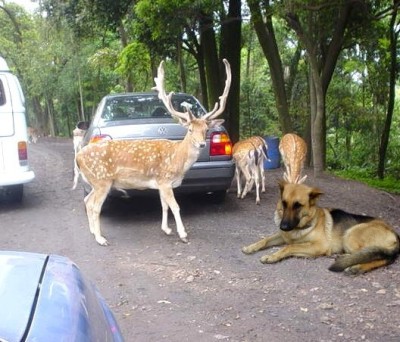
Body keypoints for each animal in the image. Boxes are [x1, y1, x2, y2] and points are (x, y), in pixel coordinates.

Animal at [76, 59, 231, 246]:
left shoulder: (161, 183)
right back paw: (100, 238)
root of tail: (78, 157)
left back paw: (93, 232)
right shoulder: (164, 179)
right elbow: (175, 206)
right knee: (94, 205)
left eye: (206, 130)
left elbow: (164, 205)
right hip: (102, 180)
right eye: (190, 129)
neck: (177, 159)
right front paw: (183, 234)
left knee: (86, 200)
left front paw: (166, 229)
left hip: (96, 182)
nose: (202, 144)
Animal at [242, 182, 398, 276]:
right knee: (381, 257)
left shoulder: (319, 246)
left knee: (381, 256)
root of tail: (395, 233)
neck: (304, 224)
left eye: (298, 205)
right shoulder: (283, 236)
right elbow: (265, 240)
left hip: (350, 234)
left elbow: (290, 247)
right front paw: (251, 247)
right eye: (284, 203)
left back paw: (355, 265)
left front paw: (271, 256)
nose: (283, 226)